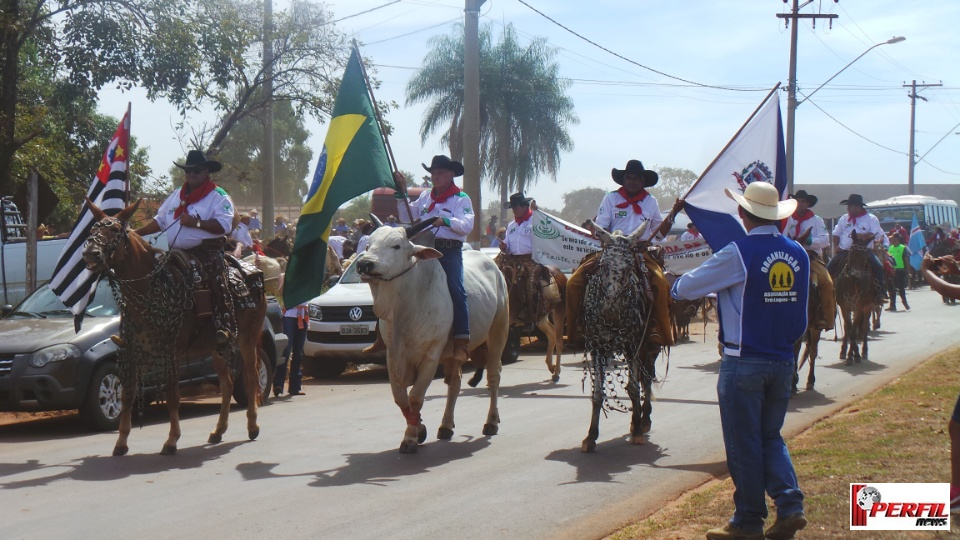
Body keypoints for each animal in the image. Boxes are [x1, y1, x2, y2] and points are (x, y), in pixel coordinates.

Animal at [83, 199, 266, 456]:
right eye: (92, 230)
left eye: (115, 230)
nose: (90, 253)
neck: (148, 288)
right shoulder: (132, 351)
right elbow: (128, 393)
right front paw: (121, 442)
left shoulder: (169, 351)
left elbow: (172, 394)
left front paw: (171, 440)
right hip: (216, 347)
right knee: (227, 382)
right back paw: (218, 431)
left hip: (247, 339)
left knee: (251, 378)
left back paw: (252, 426)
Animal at [356, 226, 512, 454]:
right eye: (367, 245)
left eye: (396, 246)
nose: (364, 264)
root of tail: (494, 266)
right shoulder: (392, 357)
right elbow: (401, 399)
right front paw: (419, 428)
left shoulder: (430, 357)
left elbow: (415, 397)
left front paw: (410, 438)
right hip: (455, 353)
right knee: (454, 383)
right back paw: (446, 425)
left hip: (498, 332)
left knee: (493, 375)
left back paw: (491, 421)